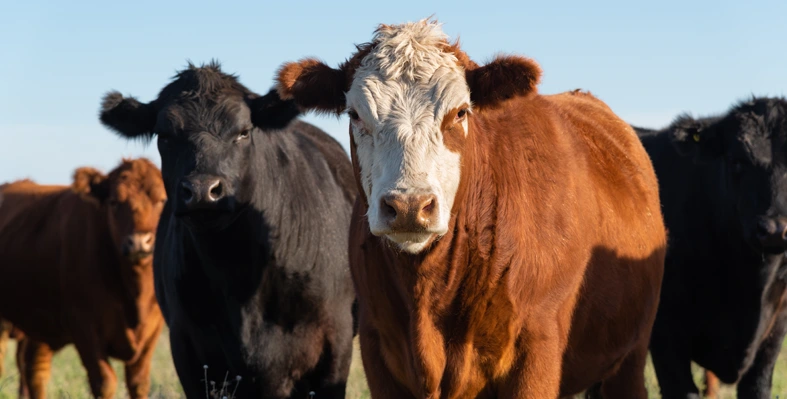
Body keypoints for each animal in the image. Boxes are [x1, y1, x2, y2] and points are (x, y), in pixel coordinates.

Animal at [0, 159, 165, 399]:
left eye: (162, 200)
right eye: (114, 202)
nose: (138, 242)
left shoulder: (152, 331)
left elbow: (139, 383)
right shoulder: (84, 326)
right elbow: (105, 383)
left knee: (34, 370)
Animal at [274, 18, 668, 396]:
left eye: (461, 112)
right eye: (355, 114)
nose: (409, 205)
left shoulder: (536, 349)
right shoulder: (376, 349)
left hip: (631, 355)